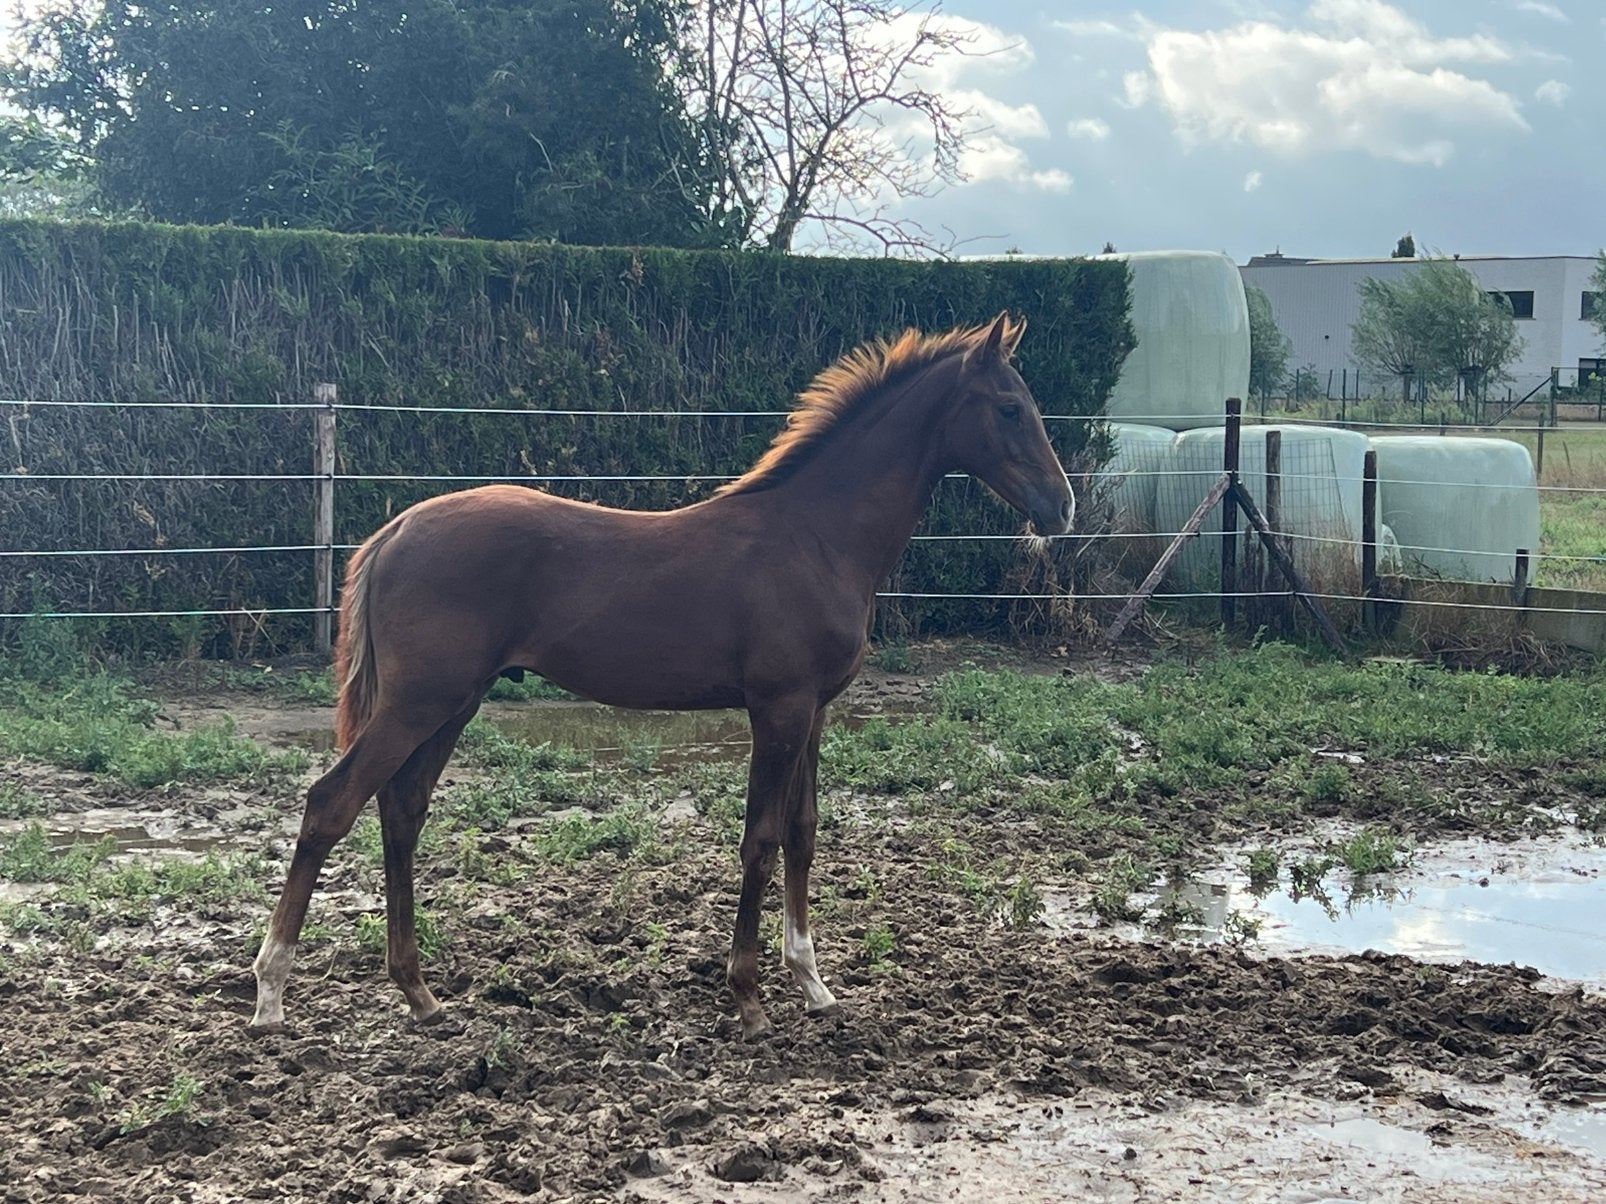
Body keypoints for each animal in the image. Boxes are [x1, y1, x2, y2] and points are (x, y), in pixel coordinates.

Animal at [249, 312, 1075, 1040]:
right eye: (1010, 407)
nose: (1061, 508)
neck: (816, 536)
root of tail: (394, 530)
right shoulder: (777, 709)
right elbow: (760, 839)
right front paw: (748, 1000)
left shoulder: (815, 710)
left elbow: (803, 833)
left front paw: (812, 983)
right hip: (421, 701)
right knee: (332, 804)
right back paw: (271, 993)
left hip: (452, 703)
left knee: (402, 808)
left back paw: (419, 994)